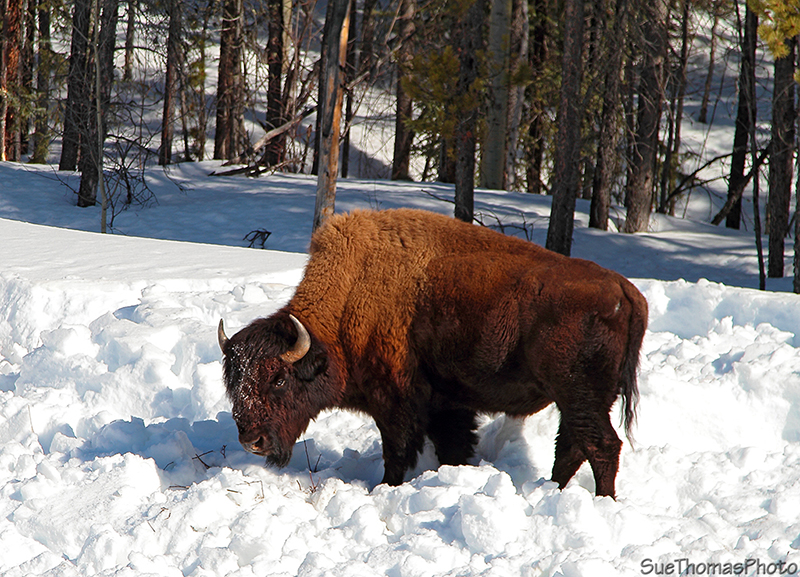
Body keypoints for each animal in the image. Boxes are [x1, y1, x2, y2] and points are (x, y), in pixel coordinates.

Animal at [218, 208, 648, 497]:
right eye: (234, 381)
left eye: (278, 378)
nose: (251, 440)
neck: (347, 300)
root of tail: (625, 291)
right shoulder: (447, 403)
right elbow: (453, 446)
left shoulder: (395, 401)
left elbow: (397, 451)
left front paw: (386, 488)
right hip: (581, 399)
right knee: (573, 446)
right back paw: (551, 490)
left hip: (579, 395)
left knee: (601, 446)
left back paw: (600, 500)